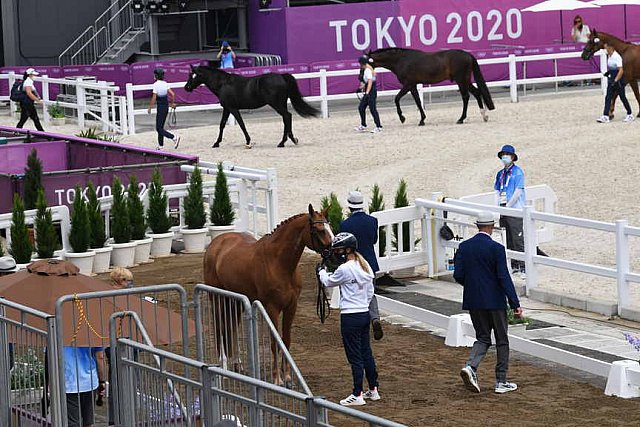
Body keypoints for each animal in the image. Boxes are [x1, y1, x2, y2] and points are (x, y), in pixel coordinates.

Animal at [185, 65, 320, 148]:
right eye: (190, 75)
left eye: (195, 75)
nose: (186, 87)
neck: (223, 84)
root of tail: (281, 76)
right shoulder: (227, 108)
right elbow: (222, 125)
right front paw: (216, 143)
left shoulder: (233, 109)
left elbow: (241, 124)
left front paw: (248, 141)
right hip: (281, 104)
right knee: (287, 117)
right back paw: (291, 139)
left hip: (277, 105)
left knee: (287, 116)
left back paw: (283, 142)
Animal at [204, 205, 336, 384]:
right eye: (320, 230)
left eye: (330, 228)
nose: (335, 253)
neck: (279, 263)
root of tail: (216, 243)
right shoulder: (272, 308)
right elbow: (274, 342)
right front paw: (276, 378)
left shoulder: (291, 307)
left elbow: (286, 340)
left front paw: (287, 377)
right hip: (217, 298)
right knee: (220, 327)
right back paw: (223, 366)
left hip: (236, 300)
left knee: (233, 326)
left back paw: (237, 365)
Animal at [364, 48, 496, 126]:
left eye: (364, 62)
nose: (361, 75)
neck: (401, 60)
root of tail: (468, 54)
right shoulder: (413, 86)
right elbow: (418, 101)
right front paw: (422, 119)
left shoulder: (408, 84)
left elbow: (397, 98)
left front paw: (403, 118)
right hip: (465, 80)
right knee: (477, 93)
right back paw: (484, 116)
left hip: (461, 80)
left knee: (466, 97)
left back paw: (461, 119)